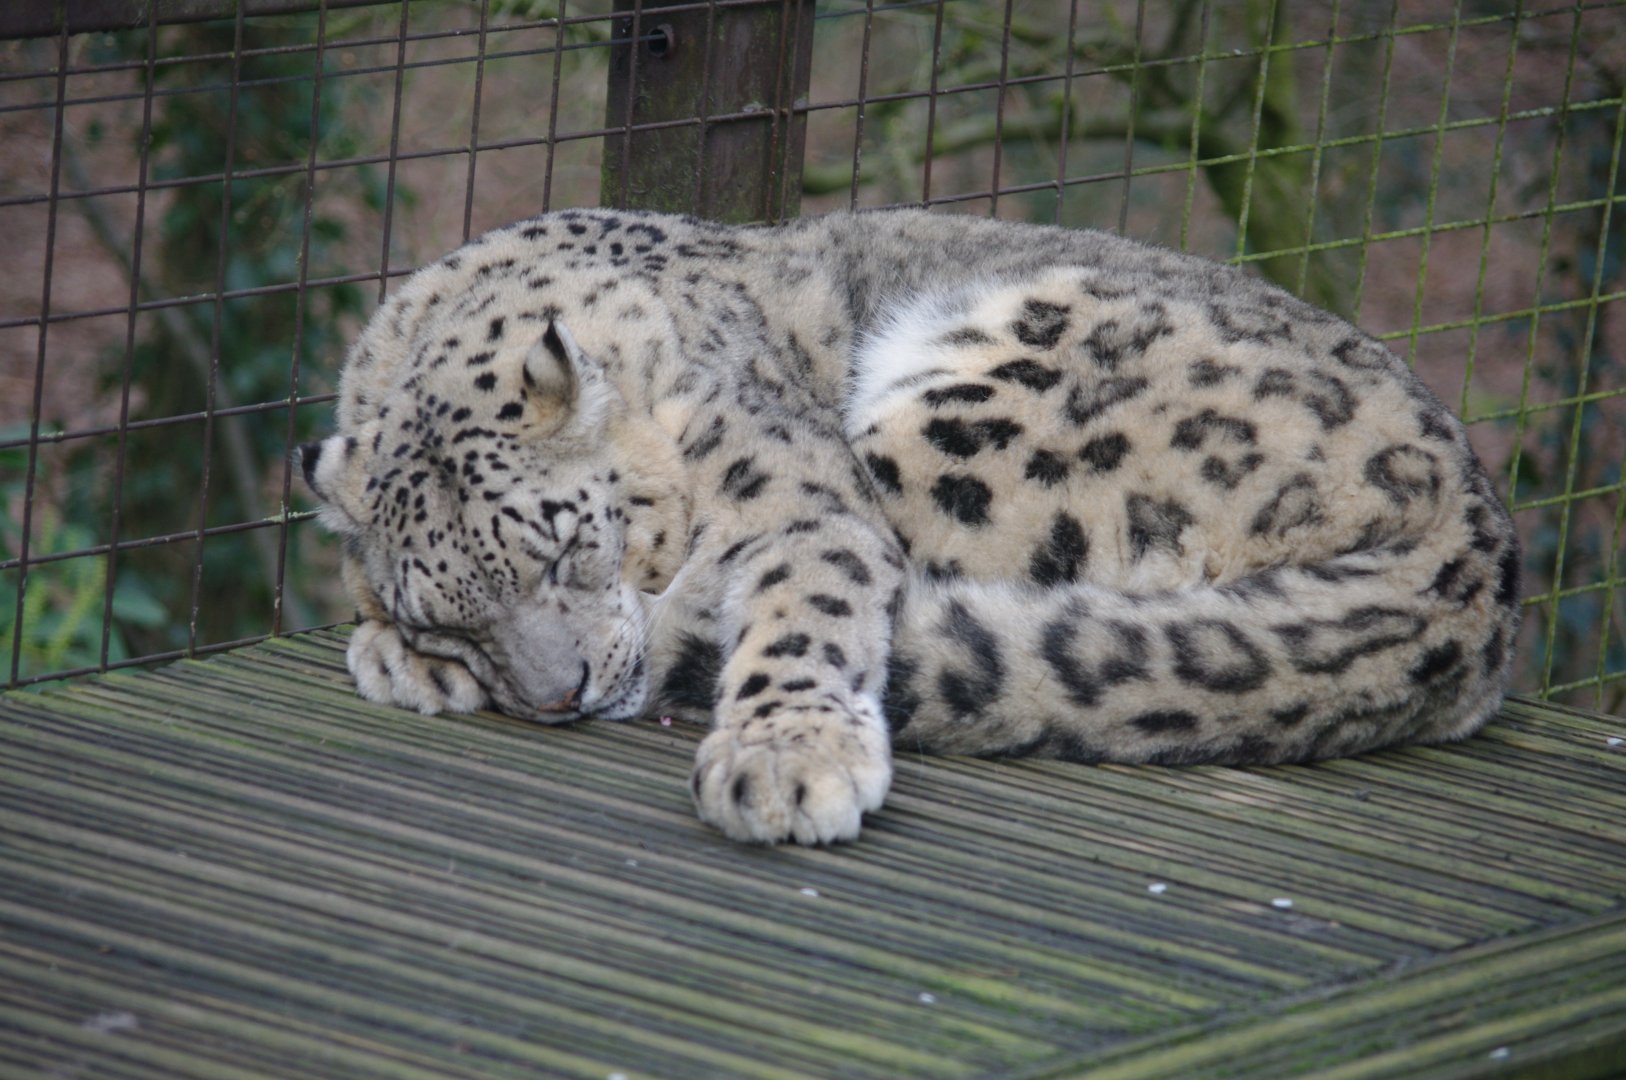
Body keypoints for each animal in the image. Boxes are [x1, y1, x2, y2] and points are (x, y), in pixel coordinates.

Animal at [300, 207, 1521, 846]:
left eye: (564, 545)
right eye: (451, 612)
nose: (560, 694)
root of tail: (1480, 560)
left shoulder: (792, 492)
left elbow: (805, 598)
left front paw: (786, 764)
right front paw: (416, 655)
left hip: (981, 419)